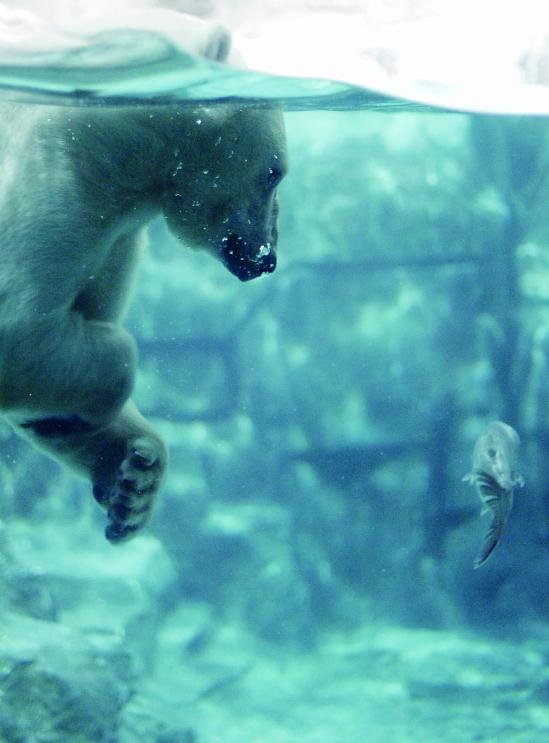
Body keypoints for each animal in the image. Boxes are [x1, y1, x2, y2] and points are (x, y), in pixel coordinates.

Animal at [0, 18, 288, 540]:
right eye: (274, 173)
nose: (266, 258)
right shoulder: (49, 183)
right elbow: (20, 328)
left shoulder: (113, 234)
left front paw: (132, 477)